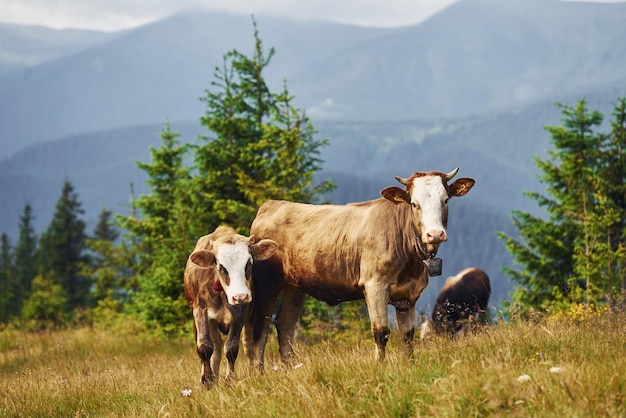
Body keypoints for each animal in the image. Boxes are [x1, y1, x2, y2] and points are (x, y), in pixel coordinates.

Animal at [182, 227, 276, 386]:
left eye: (249, 263)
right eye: (221, 266)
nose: (240, 296)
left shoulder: (240, 315)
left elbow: (231, 349)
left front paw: (228, 381)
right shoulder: (200, 310)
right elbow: (205, 346)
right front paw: (207, 380)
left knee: (245, 346)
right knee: (215, 348)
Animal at [244, 167, 472, 366]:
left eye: (446, 200)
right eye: (414, 204)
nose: (435, 234)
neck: (411, 263)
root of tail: (272, 205)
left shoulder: (410, 293)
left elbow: (407, 334)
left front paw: (410, 365)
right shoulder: (375, 285)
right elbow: (381, 332)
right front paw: (380, 367)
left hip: (295, 285)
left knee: (284, 324)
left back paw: (292, 369)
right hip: (266, 284)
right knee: (259, 330)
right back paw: (259, 373)